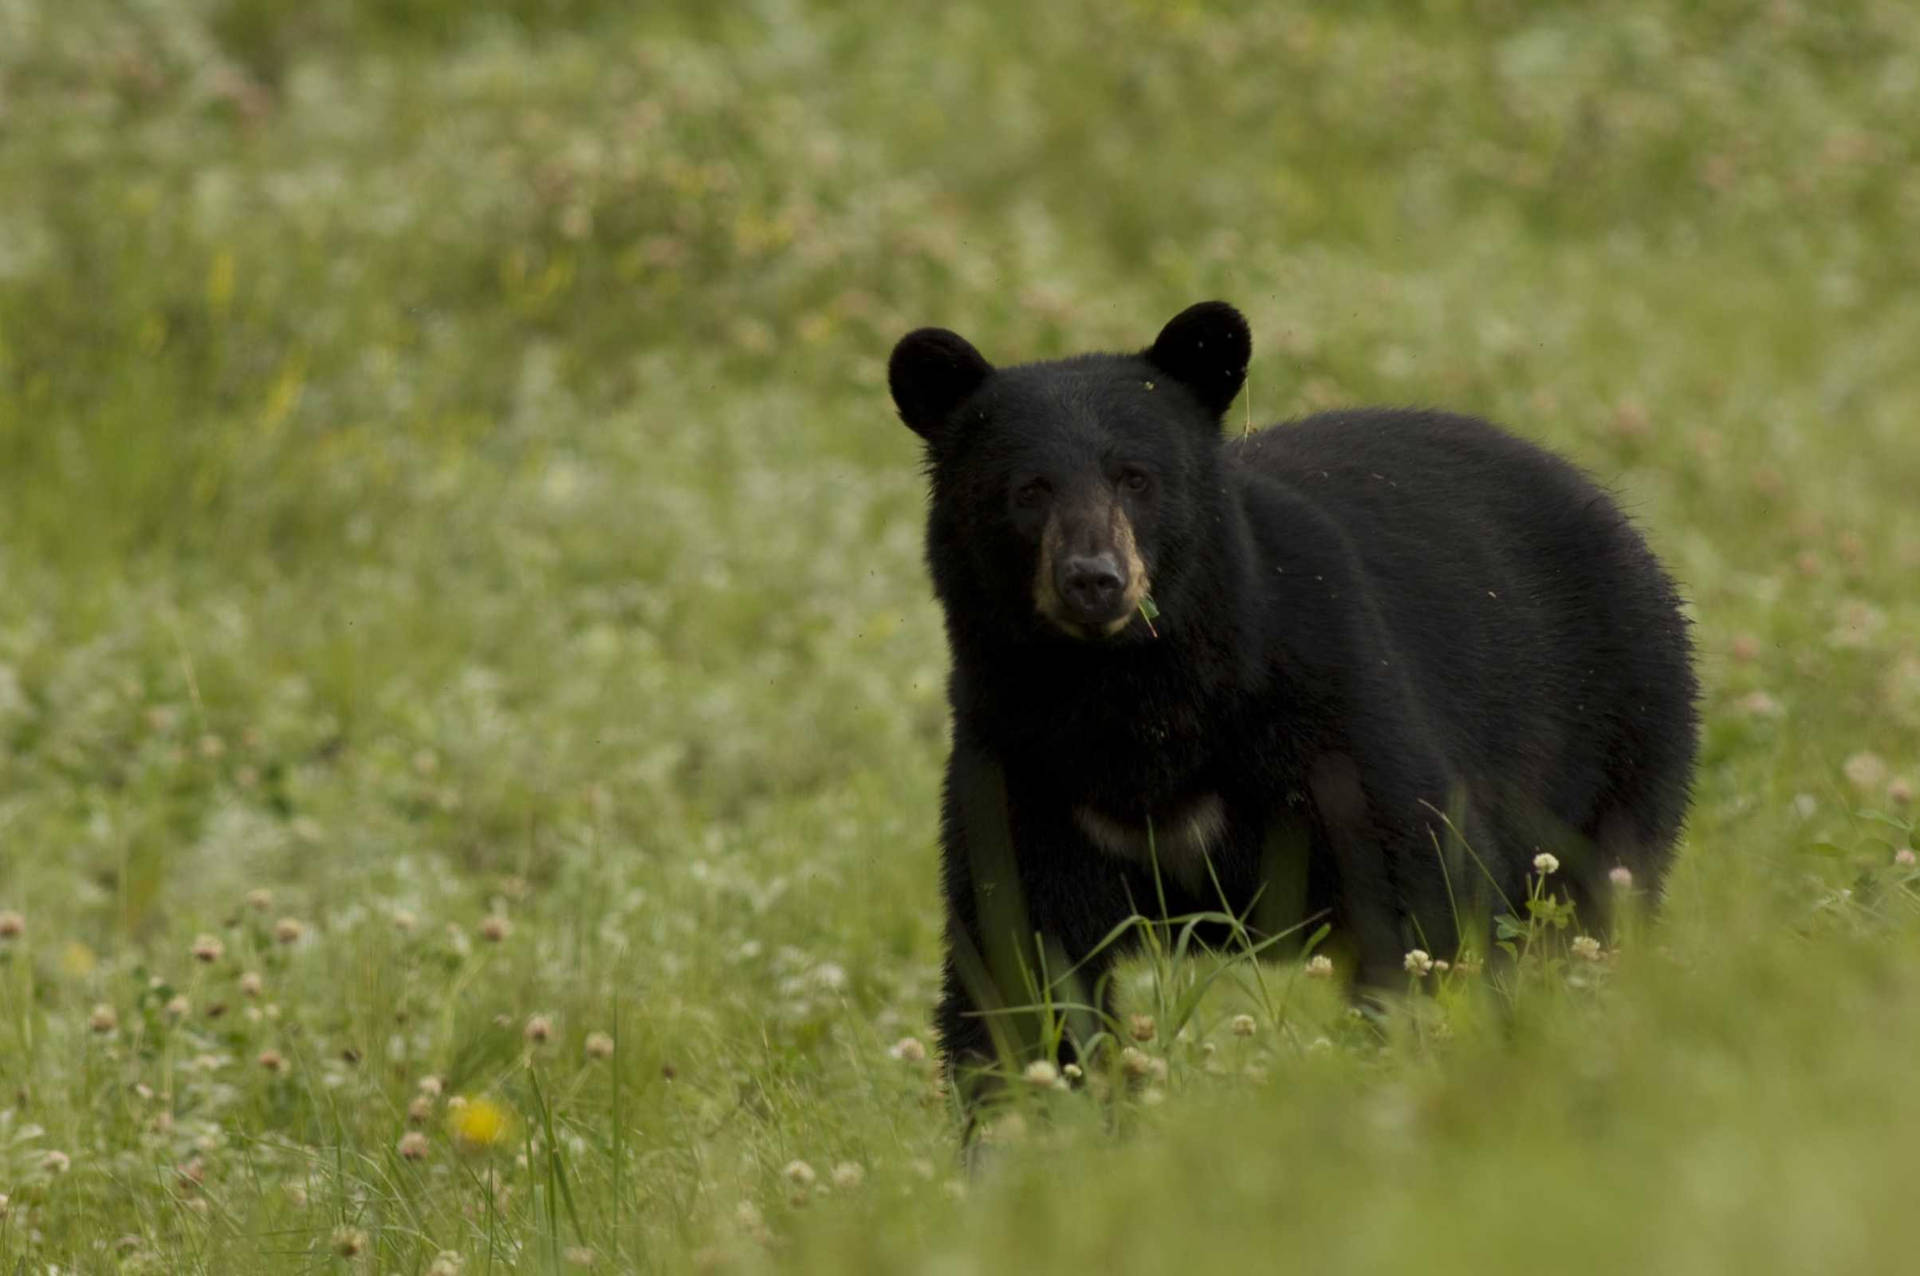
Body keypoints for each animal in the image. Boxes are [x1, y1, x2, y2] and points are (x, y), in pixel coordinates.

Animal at [887, 303, 1697, 1089]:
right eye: (1028, 489)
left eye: (1136, 477)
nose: (1093, 579)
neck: (1131, 696)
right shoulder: (1021, 761)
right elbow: (1020, 961)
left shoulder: (1326, 708)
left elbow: (1422, 895)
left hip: (1613, 734)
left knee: (1591, 903)